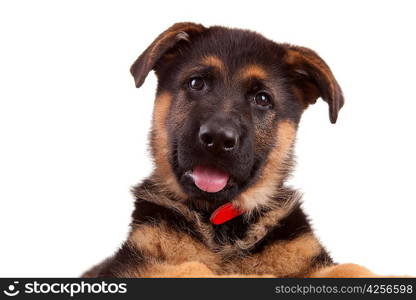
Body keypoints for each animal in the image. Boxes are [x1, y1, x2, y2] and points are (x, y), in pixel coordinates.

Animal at [83, 22, 376, 278]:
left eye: (262, 99)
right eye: (196, 83)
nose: (217, 139)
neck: (221, 222)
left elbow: (350, 268)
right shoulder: (129, 265)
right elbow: (192, 267)